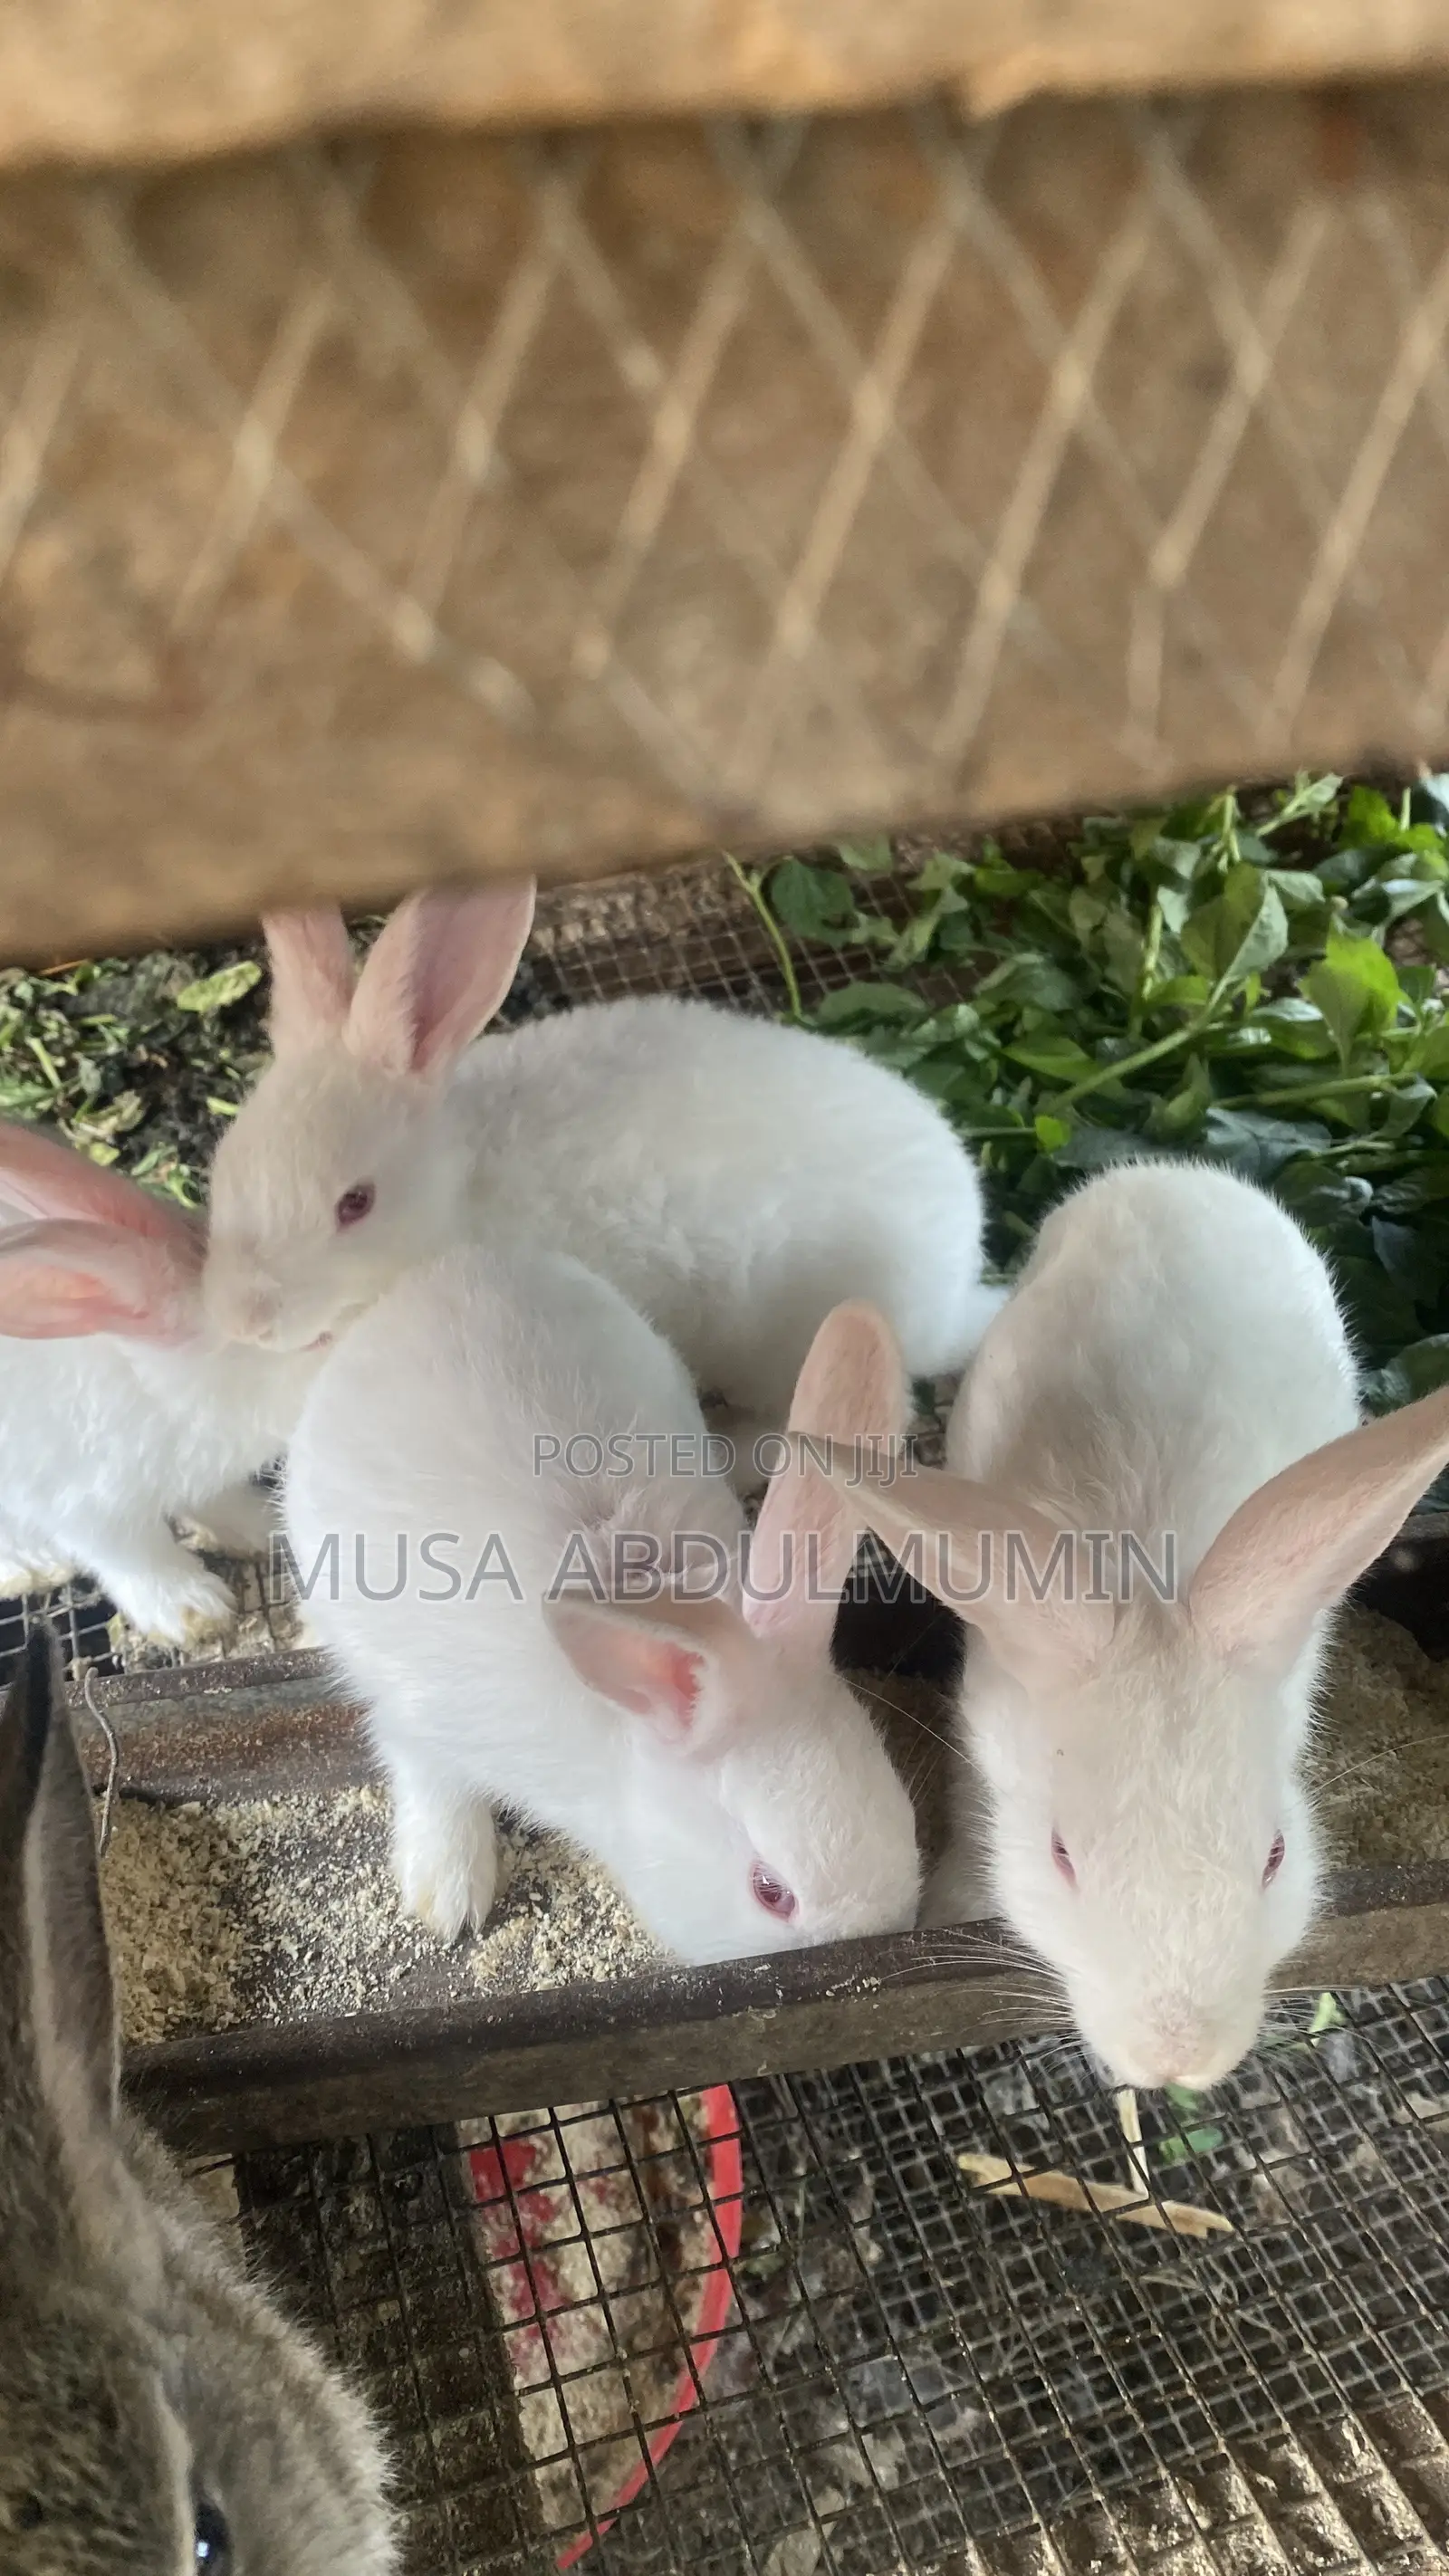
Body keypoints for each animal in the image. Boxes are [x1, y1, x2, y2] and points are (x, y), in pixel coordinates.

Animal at [0, 1120, 322, 1642]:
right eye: (317, 1339)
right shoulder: (83, 1507)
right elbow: (135, 1557)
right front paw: (193, 1611)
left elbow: (217, 1502)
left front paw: (257, 1528)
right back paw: (33, 1567)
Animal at [284, 1246, 922, 1963]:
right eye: (771, 1891)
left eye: (904, 1811)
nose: (878, 1935)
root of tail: (430, 1277)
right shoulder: (420, 1712)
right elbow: (428, 1776)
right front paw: (447, 1896)